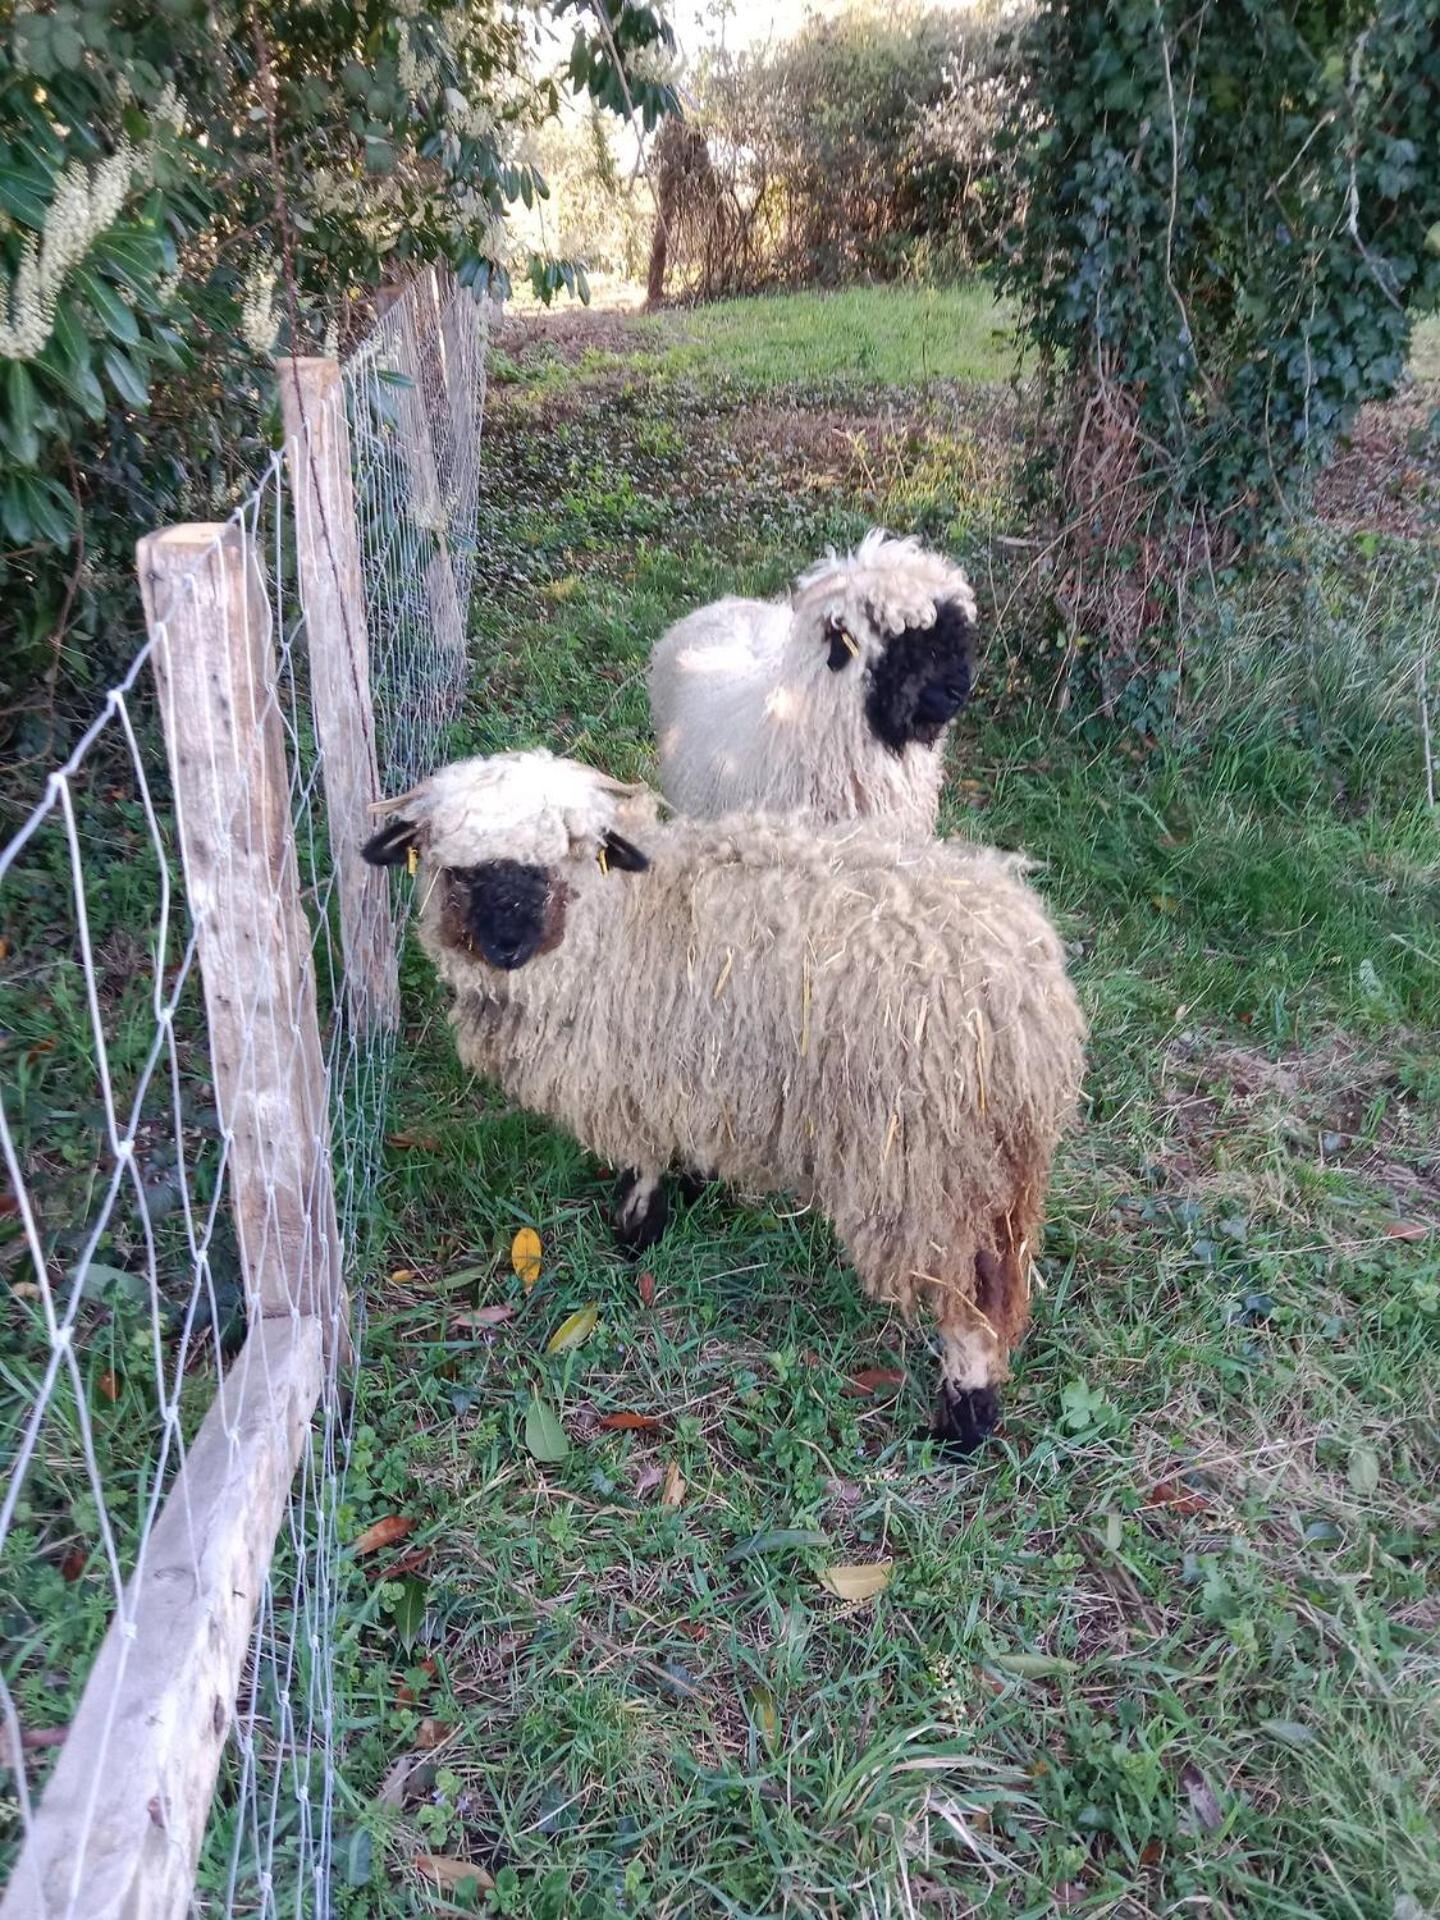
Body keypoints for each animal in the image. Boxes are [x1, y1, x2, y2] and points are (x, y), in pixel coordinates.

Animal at [366, 748, 1090, 1451]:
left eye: (559, 859)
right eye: (459, 871)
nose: (506, 947)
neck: (621, 924)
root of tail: (1026, 991)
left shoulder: (643, 1077)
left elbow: (646, 1159)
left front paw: (637, 1227)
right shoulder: (697, 1078)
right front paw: (689, 1188)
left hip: (926, 1168)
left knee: (969, 1300)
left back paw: (964, 1417)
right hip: (991, 1169)